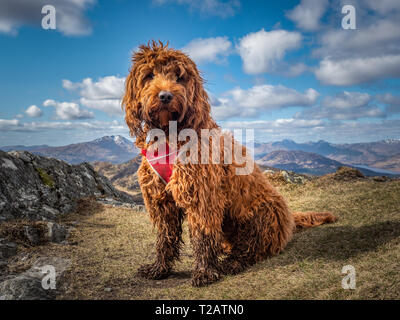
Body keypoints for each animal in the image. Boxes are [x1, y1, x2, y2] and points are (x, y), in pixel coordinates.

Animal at [122, 40, 338, 288]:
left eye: (179, 77)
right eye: (149, 75)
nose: (165, 96)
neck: (171, 134)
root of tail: (290, 222)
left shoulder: (202, 195)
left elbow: (203, 235)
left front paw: (205, 272)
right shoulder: (161, 200)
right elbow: (165, 236)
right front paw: (159, 267)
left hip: (261, 213)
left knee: (253, 249)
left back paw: (234, 262)